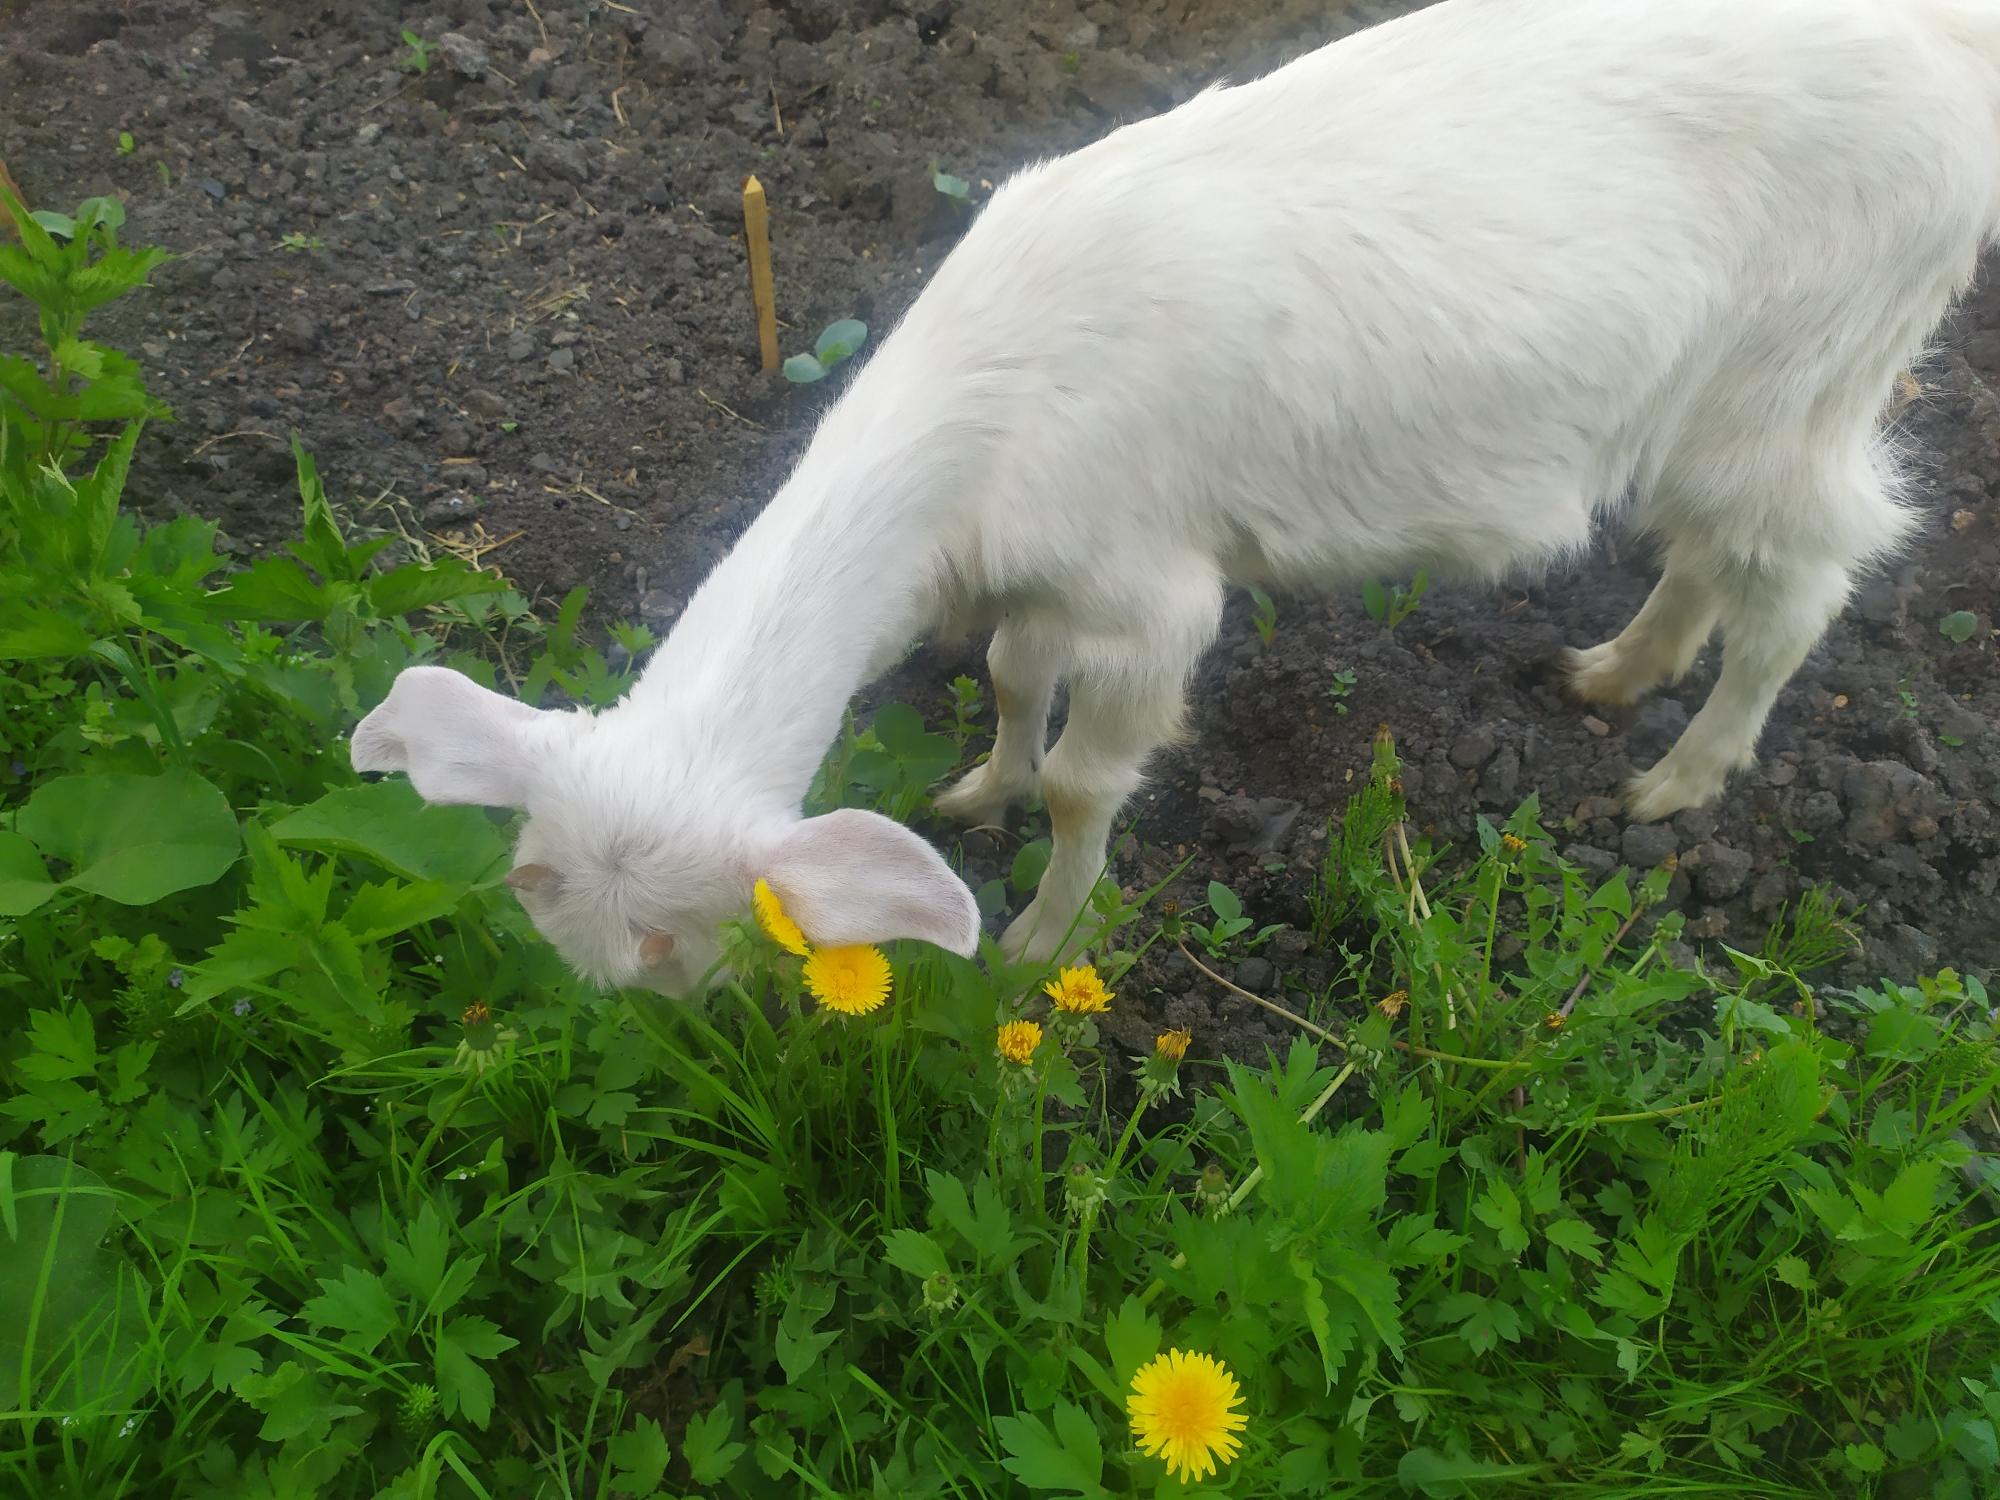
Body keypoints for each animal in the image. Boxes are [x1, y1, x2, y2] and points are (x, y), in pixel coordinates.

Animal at [352, 0, 2000, 1000]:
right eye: (536, 882)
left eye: (678, 936)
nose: (631, 1020)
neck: (986, 405)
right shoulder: (1043, 574)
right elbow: (1011, 674)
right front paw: (980, 786)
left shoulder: (1151, 594)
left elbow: (1092, 781)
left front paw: (1037, 933)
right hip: (1719, 395)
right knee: (1712, 552)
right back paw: (1617, 673)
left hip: (1814, 361)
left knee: (1806, 572)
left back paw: (1681, 776)